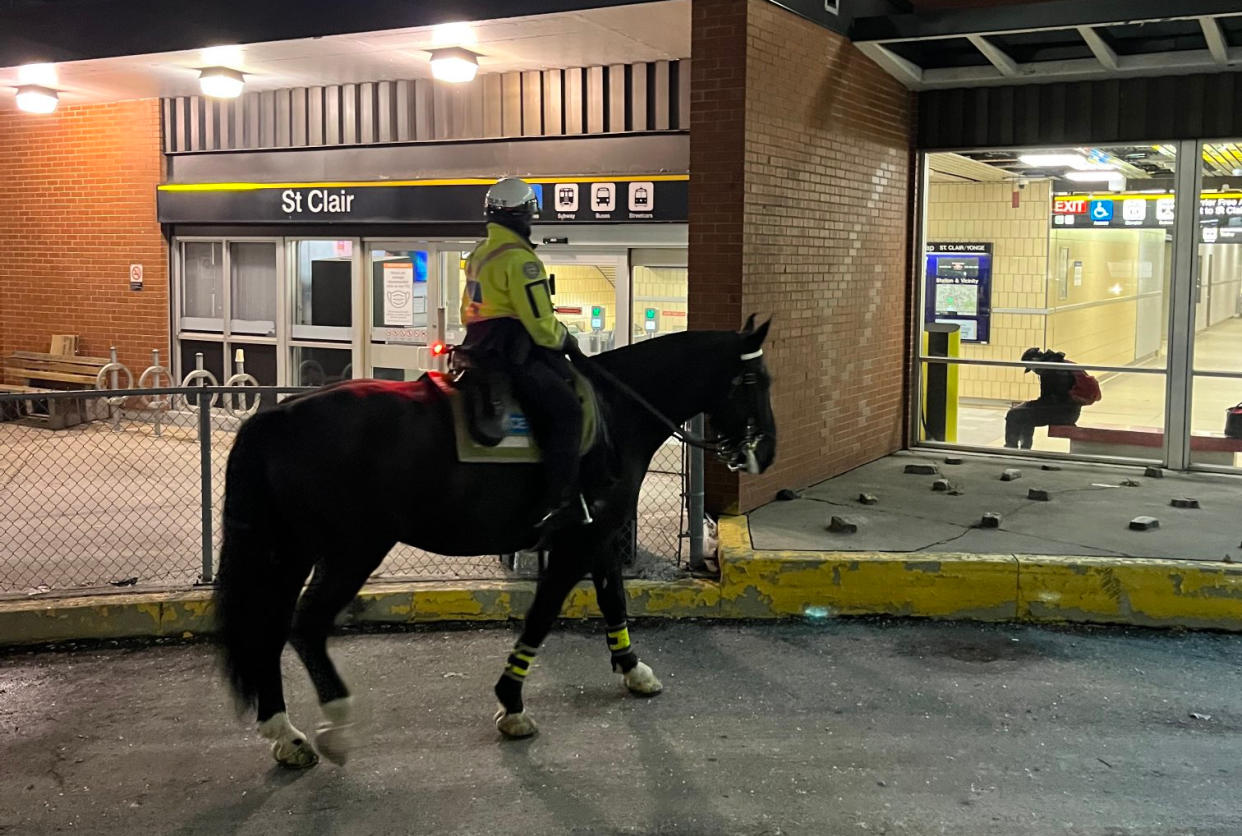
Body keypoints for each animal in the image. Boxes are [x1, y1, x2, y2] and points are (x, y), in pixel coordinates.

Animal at [217, 316, 770, 765]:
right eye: (755, 380)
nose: (766, 451)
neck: (619, 410)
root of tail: (277, 416)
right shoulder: (576, 543)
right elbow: (543, 614)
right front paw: (511, 703)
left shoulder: (599, 532)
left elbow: (614, 598)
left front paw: (633, 670)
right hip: (352, 550)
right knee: (307, 625)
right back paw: (335, 723)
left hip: (289, 551)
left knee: (269, 628)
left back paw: (285, 734)